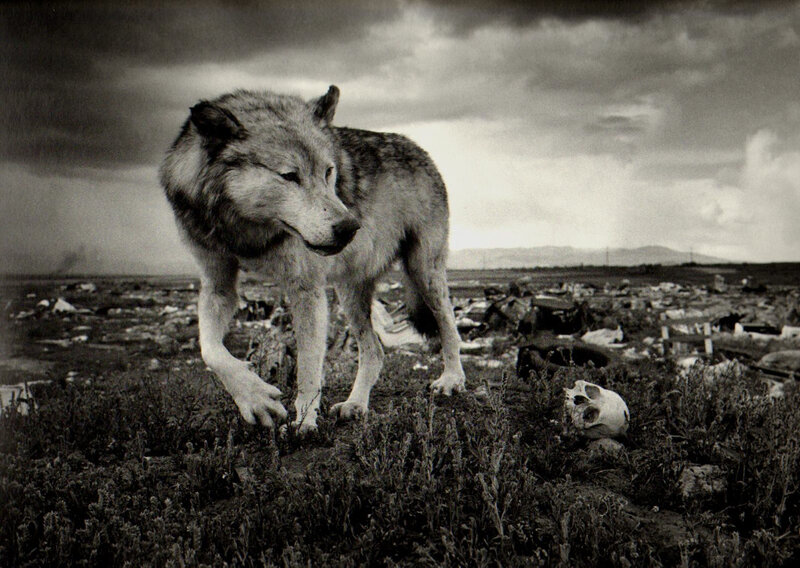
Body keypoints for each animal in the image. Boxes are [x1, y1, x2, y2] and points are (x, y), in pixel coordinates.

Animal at [160, 85, 466, 432]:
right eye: (289, 176)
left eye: (328, 171)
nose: (349, 228)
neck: (246, 230)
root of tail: (419, 149)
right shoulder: (217, 285)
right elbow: (210, 350)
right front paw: (255, 400)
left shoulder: (305, 288)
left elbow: (308, 368)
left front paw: (304, 424)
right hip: (349, 292)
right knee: (375, 351)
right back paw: (355, 404)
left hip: (423, 273)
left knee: (449, 329)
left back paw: (451, 381)